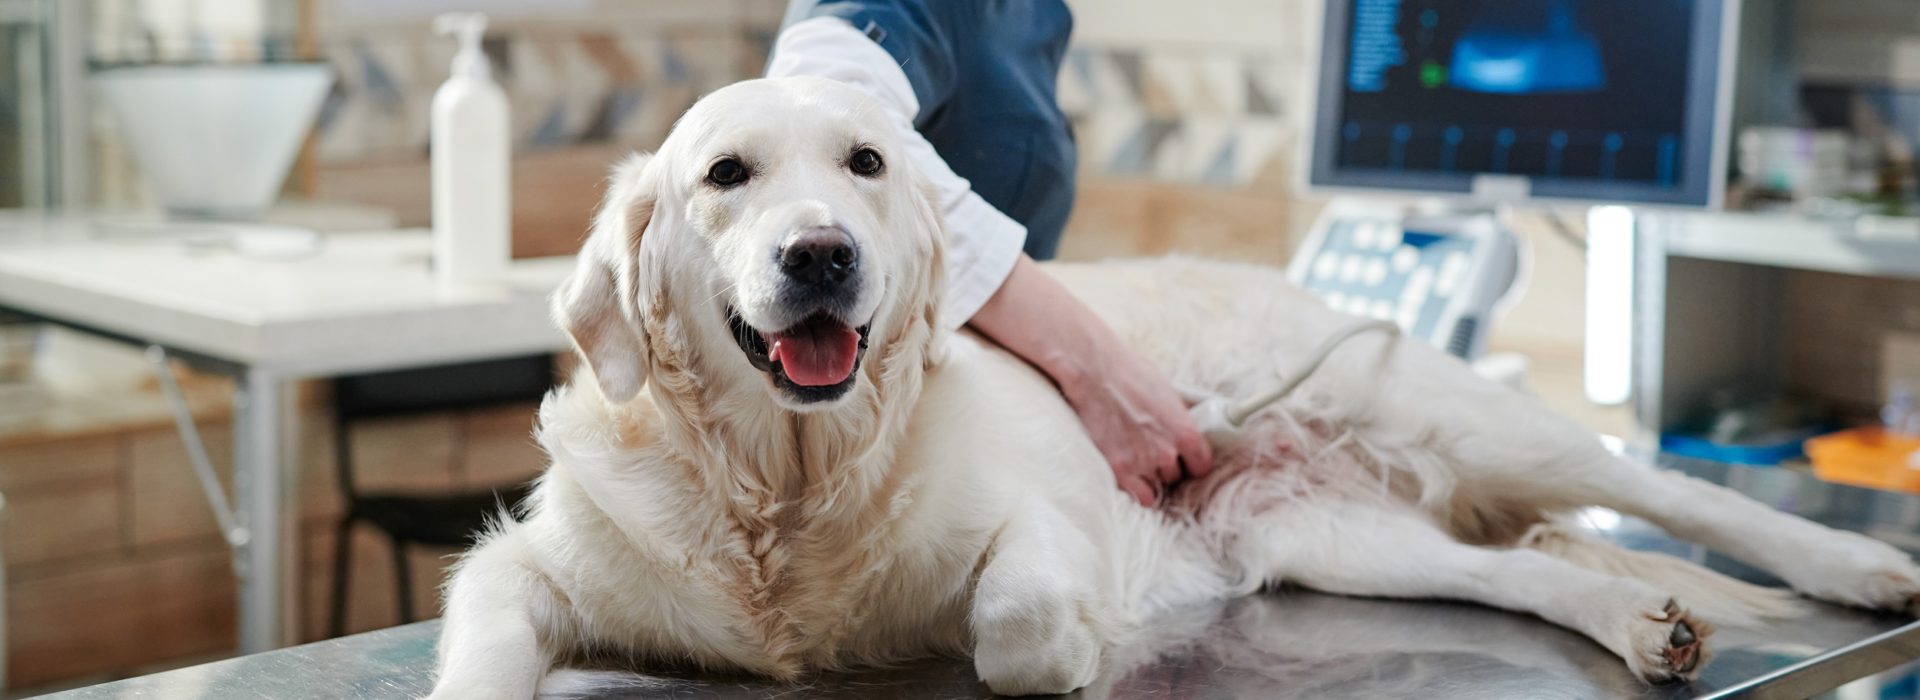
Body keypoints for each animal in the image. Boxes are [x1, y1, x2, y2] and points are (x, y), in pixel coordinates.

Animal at [428, 77, 1920, 698]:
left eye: (866, 163)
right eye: (725, 175)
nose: (822, 256)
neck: (786, 490)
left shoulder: (1045, 522)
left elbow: (1017, 619)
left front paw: (1078, 645)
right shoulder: (521, 568)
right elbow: (482, 653)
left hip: (1446, 412)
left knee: (1657, 484)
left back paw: (1858, 567)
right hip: (1331, 535)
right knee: (1527, 573)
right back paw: (1640, 626)